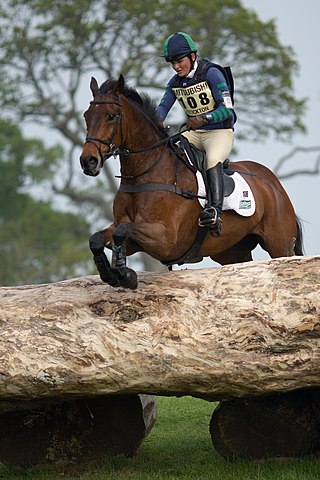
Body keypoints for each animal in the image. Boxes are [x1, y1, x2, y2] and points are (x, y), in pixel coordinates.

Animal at [79, 76, 302, 288]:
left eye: (111, 116)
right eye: (86, 116)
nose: (88, 161)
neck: (144, 174)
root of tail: (273, 182)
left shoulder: (165, 240)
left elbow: (122, 231)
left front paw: (125, 274)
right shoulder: (135, 237)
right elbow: (97, 239)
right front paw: (111, 273)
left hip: (279, 243)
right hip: (231, 251)